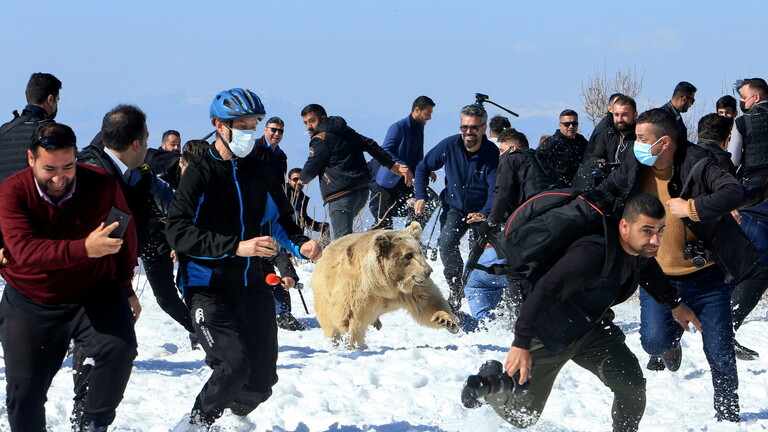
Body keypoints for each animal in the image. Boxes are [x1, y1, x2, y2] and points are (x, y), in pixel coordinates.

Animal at [310, 221, 456, 350]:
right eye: (408, 255)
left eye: (420, 251)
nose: (428, 271)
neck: (385, 285)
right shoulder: (357, 291)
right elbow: (349, 320)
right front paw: (352, 344)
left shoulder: (411, 290)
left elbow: (428, 302)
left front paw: (445, 320)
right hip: (323, 296)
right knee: (329, 324)